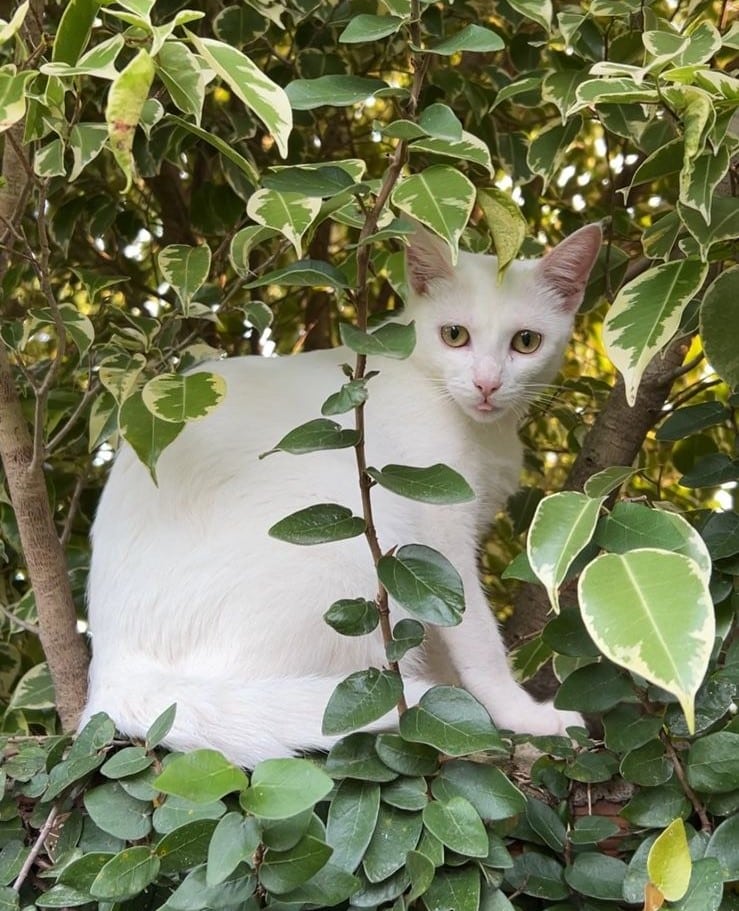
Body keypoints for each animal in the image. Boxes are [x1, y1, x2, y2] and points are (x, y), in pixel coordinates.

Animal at [82, 224, 600, 764]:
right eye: (454, 335)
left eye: (526, 342)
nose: (487, 384)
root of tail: (114, 677)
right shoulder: (438, 535)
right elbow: (474, 634)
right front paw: (517, 713)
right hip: (354, 542)